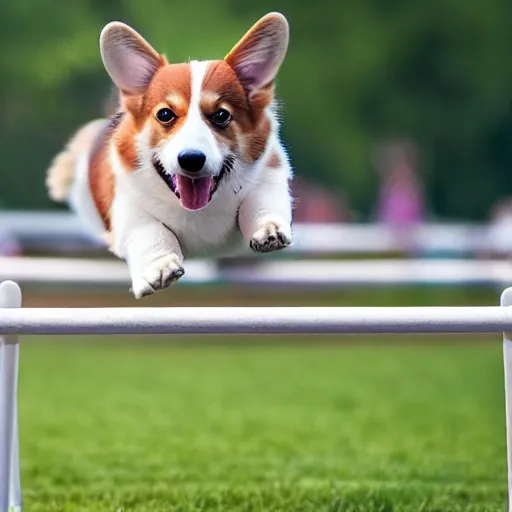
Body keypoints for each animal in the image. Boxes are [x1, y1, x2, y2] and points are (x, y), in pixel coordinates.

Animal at [46, 12, 294, 298]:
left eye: (221, 115)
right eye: (165, 114)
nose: (191, 159)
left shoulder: (271, 173)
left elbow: (261, 201)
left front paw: (269, 229)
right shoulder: (127, 207)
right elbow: (149, 230)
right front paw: (159, 268)